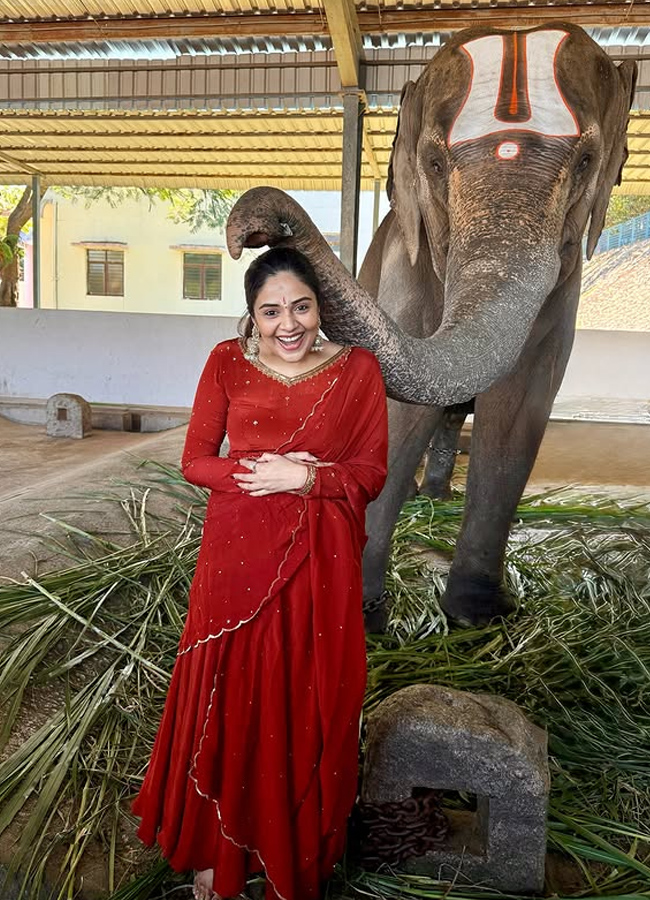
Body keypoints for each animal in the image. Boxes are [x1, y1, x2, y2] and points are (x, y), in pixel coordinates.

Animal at [225, 21, 636, 624]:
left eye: (586, 161)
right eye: (436, 166)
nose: (258, 225)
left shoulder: (566, 284)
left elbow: (522, 400)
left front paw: (479, 616)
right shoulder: (405, 257)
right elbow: (401, 413)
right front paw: (364, 614)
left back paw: (437, 498)